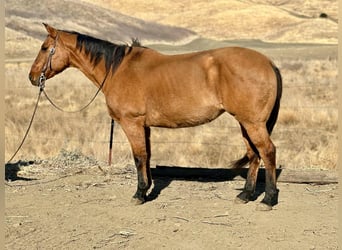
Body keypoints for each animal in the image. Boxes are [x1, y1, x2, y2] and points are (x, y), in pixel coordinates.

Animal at [29, 23, 282, 211]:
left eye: (44, 47)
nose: (32, 77)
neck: (117, 69)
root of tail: (269, 62)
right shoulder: (145, 126)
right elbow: (147, 156)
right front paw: (148, 189)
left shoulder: (132, 123)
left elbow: (139, 157)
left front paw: (139, 193)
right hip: (245, 122)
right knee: (254, 154)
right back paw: (246, 195)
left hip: (252, 123)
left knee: (267, 152)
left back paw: (268, 199)